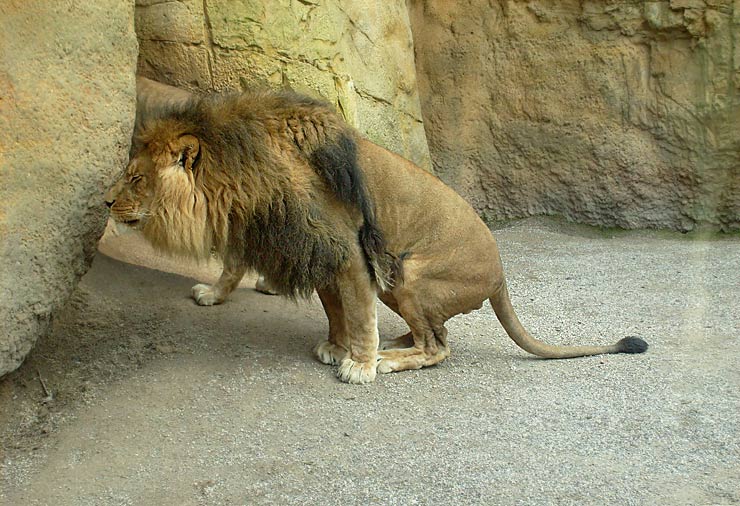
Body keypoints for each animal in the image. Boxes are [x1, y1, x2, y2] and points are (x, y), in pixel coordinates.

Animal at [105, 90, 648, 384]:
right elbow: (334, 308)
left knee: (439, 347)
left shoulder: (347, 253)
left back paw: (389, 358)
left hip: (408, 274)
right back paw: (398, 339)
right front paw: (335, 345)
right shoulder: (314, 251)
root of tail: (500, 277)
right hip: (397, 281)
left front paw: (359, 364)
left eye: (135, 178)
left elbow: (357, 313)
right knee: (435, 333)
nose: (107, 202)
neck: (244, 177)